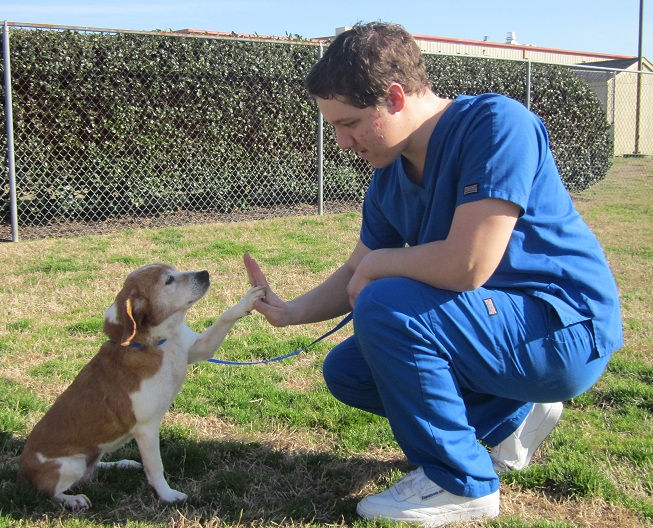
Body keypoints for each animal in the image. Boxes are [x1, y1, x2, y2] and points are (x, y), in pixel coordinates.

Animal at [17, 266, 264, 510]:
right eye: (169, 280)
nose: (204, 273)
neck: (156, 344)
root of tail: (23, 469)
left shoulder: (199, 348)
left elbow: (225, 316)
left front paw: (248, 299)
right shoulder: (147, 429)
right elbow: (155, 468)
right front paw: (167, 495)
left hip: (93, 455)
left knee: (92, 469)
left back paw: (121, 464)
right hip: (71, 465)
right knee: (50, 491)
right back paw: (72, 499)